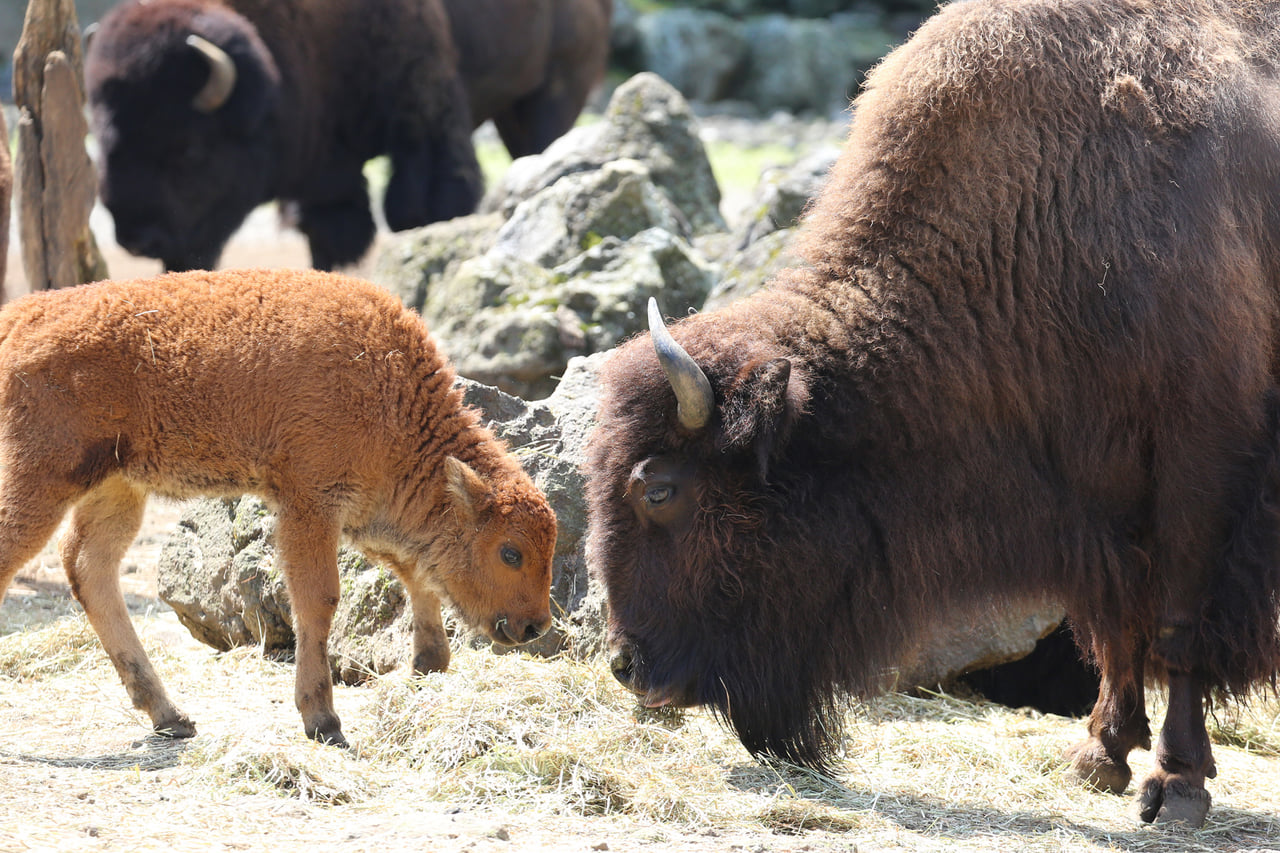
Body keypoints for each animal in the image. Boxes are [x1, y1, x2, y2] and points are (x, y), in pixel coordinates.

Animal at [0, 267, 555, 742]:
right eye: (510, 552)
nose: (535, 626)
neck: (387, 383)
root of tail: (15, 319)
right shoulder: (310, 503)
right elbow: (319, 599)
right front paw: (323, 719)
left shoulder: (364, 510)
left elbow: (414, 569)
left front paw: (429, 663)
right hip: (43, 477)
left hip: (116, 486)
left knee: (88, 567)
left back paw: (171, 715)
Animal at [586, 0, 1280, 824]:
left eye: (659, 489)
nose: (628, 667)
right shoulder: (1099, 506)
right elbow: (1117, 629)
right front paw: (1098, 756)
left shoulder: (1195, 476)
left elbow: (1173, 631)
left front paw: (1175, 786)